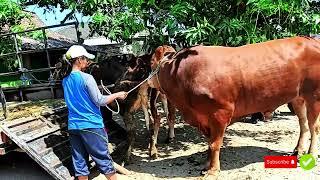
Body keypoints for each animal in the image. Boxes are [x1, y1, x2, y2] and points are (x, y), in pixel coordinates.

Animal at [148, 35, 320, 178]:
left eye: (150, 63)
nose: (148, 81)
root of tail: (310, 40)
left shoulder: (220, 113)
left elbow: (215, 144)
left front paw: (213, 170)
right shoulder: (204, 119)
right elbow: (209, 143)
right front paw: (206, 165)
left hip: (314, 96)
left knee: (314, 127)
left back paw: (311, 153)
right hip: (298, 98)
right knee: (303, 124)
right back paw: (298, 151)